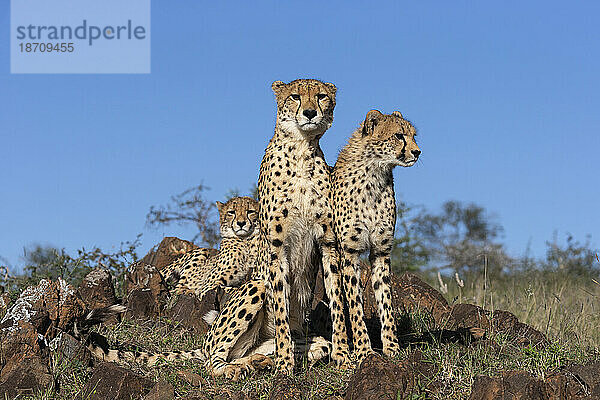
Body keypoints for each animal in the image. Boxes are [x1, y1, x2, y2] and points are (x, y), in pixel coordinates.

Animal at [332, 108, 422, 360]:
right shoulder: (349, 252)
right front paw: (364, 350)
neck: (375, 173)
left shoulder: (381, 252)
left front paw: (392, 347)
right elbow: (354, 304)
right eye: (399, 135)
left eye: (413, 135)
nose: (417, 151)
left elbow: (386, 300)